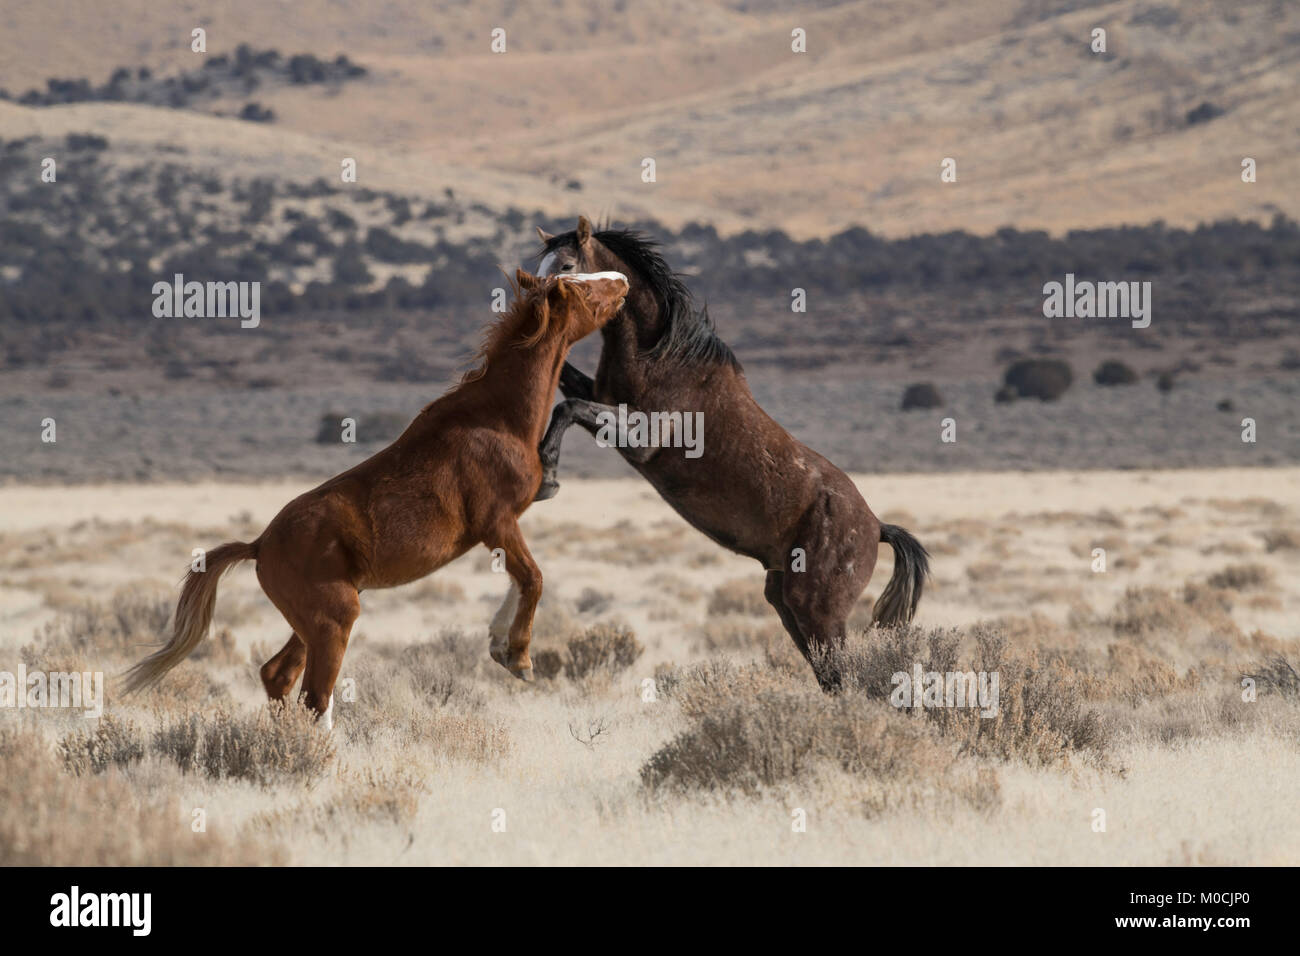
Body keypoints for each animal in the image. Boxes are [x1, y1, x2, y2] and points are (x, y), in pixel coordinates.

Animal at [124, 269, 630, 723]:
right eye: (580, 286)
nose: (622, 280)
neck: (495, 419)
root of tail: (259, 545)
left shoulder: (508, 523)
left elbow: (521, 575)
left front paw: (499, 643)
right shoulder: (497, 522)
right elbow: (533, 578)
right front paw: (519, 658)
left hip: (312, 623)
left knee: (278, 676)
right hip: (334, 620)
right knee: (315, 696)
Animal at [531, 217, 929, 690]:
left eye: (567, 265)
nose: (535, 314)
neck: (662, 354)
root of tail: (877, 528)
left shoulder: (642, 437)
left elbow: (568, 408)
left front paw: (547, 478)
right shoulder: (601, 397)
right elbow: (566, 391)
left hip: (818, 609)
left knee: (847, 678)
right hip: (786, 603)